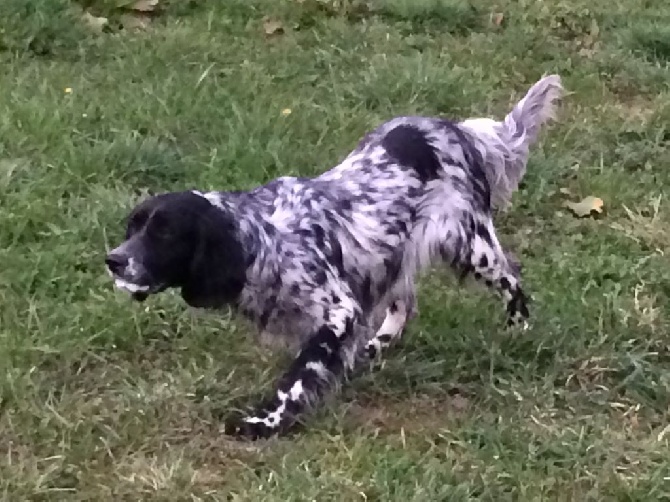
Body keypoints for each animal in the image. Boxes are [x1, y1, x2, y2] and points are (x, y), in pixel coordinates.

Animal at [106, 74, 568, 440]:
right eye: (133, 228)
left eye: (164, 233)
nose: (113, 260)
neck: (261, 239)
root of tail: (457, 129)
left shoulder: (338, 309)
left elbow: (297, 377)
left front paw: (265, 422)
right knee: (404, 303)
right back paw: (376, 348)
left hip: (470, 243)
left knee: (511, 280)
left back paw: (518, 330)